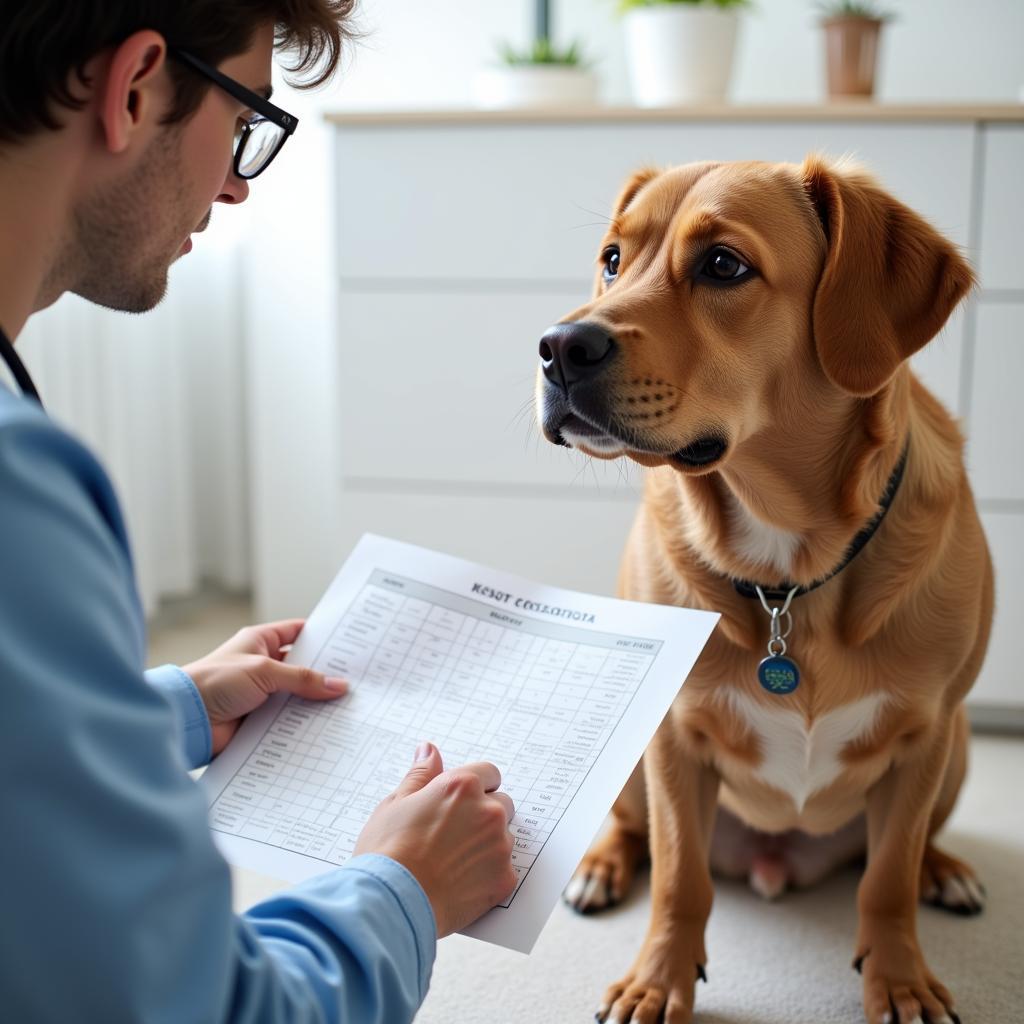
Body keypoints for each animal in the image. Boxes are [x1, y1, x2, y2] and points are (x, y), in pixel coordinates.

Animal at [536, 157, 991, 1024]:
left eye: (724, 265)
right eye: (613, 259)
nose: (556, 347)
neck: (789, 571)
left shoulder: (923, 738)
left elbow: (886, 882)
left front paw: (900, 978)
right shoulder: (674, 739)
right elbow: (680, 879)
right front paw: (658, 981)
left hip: (956, 750)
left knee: (907, 851)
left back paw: (944, 870)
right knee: (638, 836)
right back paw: (602, 865)